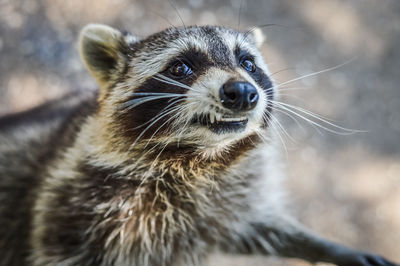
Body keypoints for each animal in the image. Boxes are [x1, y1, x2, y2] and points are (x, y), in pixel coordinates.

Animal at [0, 23, 396, 264]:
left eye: (248, 63)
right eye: (181, 68)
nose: (242, 92)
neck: (200, 158)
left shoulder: (233, 197)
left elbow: (260, 226)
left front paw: (324, 246)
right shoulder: (71, 204)